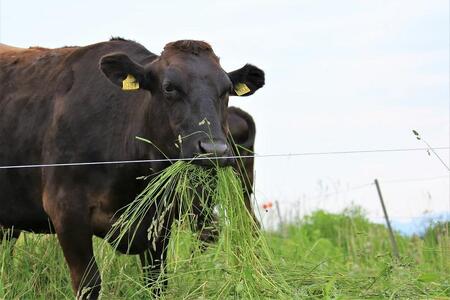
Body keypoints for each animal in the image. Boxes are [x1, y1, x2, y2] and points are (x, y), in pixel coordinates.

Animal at [0, 38, 264, 298]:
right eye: (169, 87)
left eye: (226, 89)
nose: (213, 149)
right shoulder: (66, 210)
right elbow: (89, 283)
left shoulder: (160, 220)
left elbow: (156, 283)